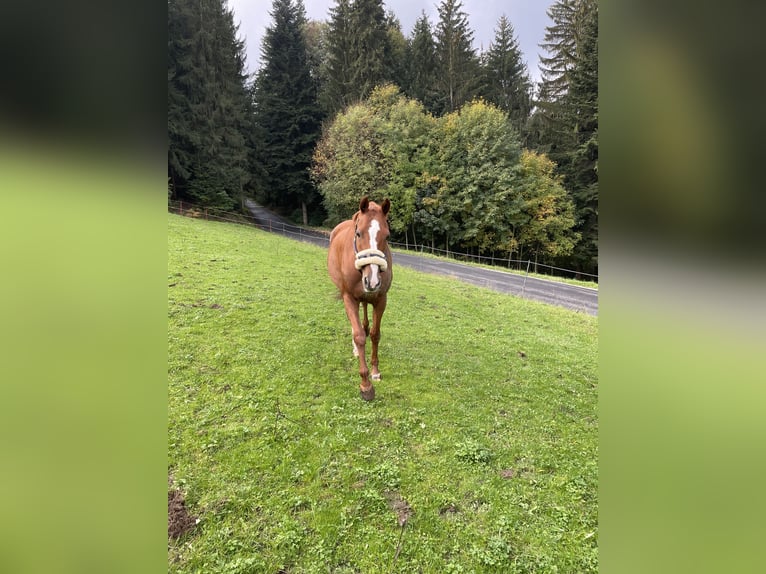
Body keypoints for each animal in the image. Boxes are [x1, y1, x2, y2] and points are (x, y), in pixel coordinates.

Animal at [327, 196, 393, 401]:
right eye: (358, 233)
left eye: (387, 236)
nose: (372, 280)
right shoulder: (349, 298)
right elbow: (359, 336)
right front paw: (365, 385)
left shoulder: (380, 299)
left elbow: (375, 334)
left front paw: (375, 372)